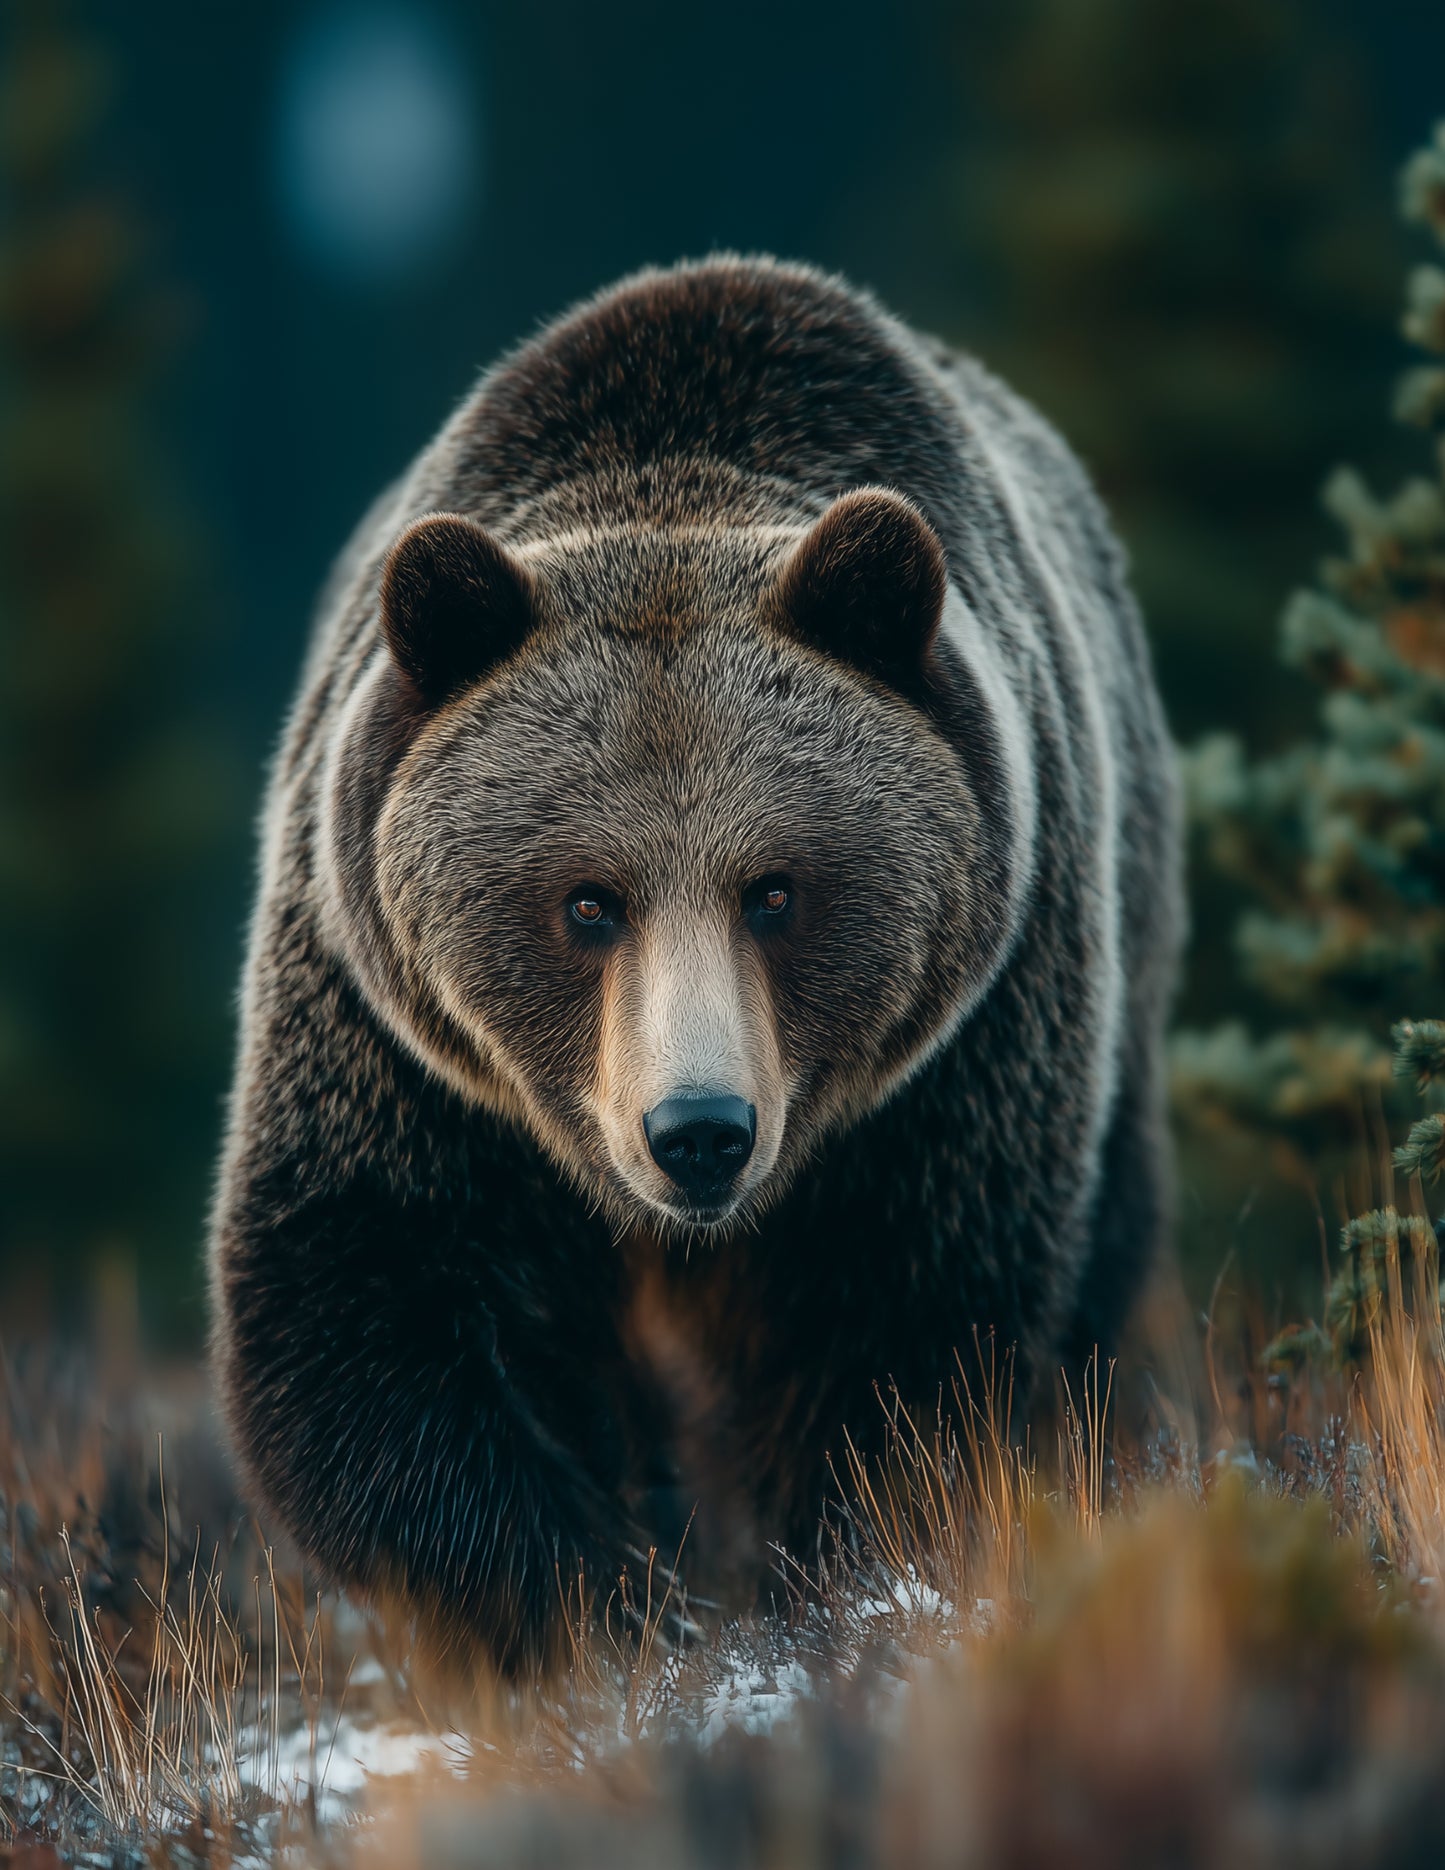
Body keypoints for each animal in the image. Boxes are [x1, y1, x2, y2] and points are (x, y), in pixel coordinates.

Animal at [209, 255, 1182, 1672]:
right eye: (586, 900)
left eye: (774, 890)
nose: (699, 1131)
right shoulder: (397, 1040)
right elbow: (371, 1301)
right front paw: (575, 1598)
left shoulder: (966, 1043)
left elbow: (905, 1333)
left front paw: (830, 1570)